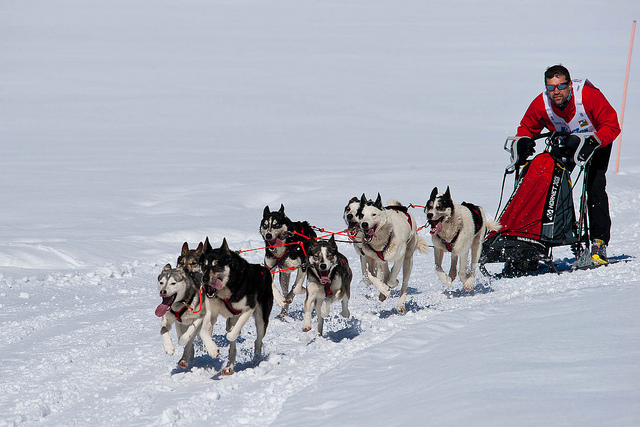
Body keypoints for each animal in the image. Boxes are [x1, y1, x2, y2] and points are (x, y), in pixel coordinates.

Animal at [199, 239, 272, 376]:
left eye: (216, 265)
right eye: (204, 265)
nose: (204, 279)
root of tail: (264, 270)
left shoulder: (248, 309)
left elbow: (231, 335)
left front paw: (235, 333)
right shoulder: (211, 313)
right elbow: (202, 332)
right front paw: (212, 349)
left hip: (261, 319)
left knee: (258, 340)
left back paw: (256, 359)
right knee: (232, 347)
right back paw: (229, 367)